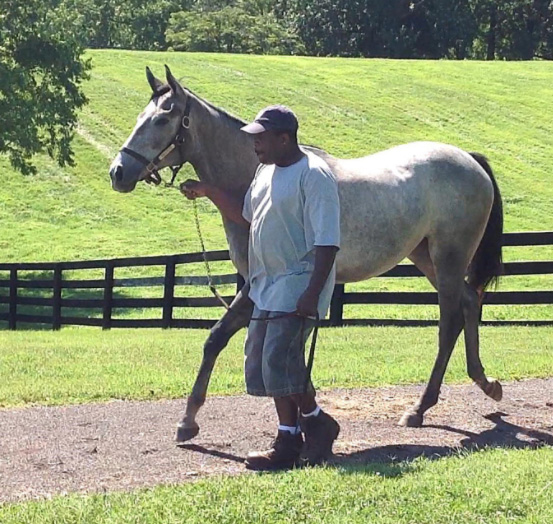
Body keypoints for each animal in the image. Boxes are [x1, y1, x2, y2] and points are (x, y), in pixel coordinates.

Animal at [110, 65, 502, 442]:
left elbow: (237, 343)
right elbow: (226, 342)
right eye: (140, 117)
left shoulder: (260, 288)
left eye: (162, 119)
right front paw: (191, 420)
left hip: (448, 258)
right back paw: (486, 384)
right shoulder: (260, 291)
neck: (254, 179)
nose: (118, 172)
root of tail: (470, 160)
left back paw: (420, 408)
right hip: (426, 258)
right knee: (470, 301)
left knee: (449, 322)